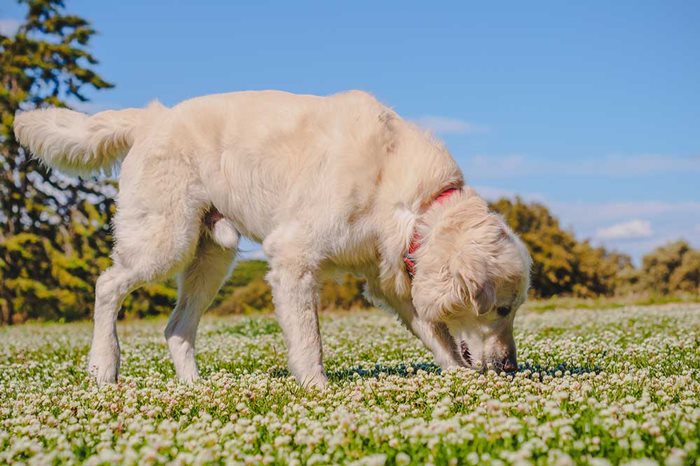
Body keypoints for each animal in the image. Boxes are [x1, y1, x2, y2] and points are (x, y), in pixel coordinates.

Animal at [13, 89, 532, 388]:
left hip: (211, 259)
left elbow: (438, 335)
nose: (510, 367)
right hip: (165, 243)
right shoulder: (294, 257)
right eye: (502, 309)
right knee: (107, 285)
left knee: (176, 327)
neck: (410, 198)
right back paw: (105, 365)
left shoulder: (390, 279)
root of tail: (152, 116)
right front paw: (318, 389)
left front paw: (459, 378)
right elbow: (309, 340)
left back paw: (196, 388)